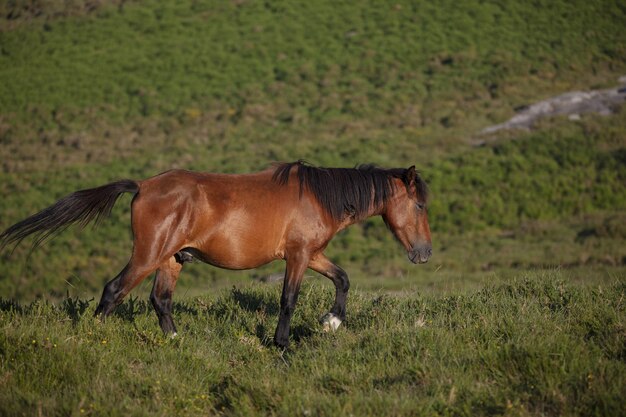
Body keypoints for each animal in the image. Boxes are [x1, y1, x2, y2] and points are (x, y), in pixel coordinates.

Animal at [0, 161, 428, 346]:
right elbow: (288, 299)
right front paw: (282, 344)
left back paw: (176, 342)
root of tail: (142, 186)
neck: (318, 196)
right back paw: (94, 339)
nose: (424, 253)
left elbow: (343, 278)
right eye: (421, 205)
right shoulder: (297, 256)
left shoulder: (311, 253)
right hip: (147, 255)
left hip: (171, 260)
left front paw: (332, 322)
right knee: (113, 291)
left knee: (160, 300)